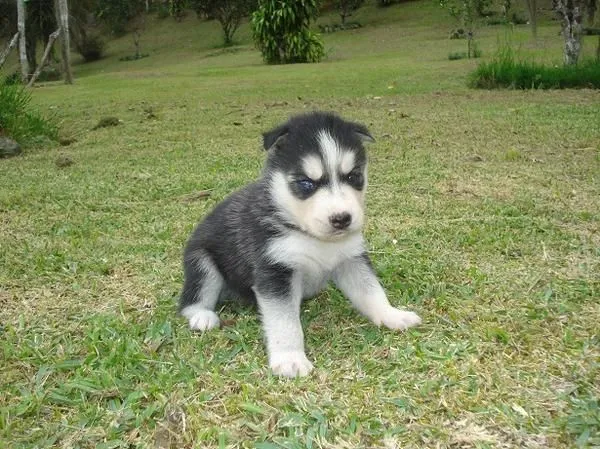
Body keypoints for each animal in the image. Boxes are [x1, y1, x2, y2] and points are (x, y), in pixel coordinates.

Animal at [178, 111, 422, 374]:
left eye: (353, 176)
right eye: (306, 183)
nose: (342, 219)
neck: (311, 236)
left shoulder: (351, 259)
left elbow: (372, 291)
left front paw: (392, 315)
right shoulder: (275, 271)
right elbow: (285, 322)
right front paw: (290, 358)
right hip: (202, 261)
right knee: (191, 299)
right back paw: (202, 316)